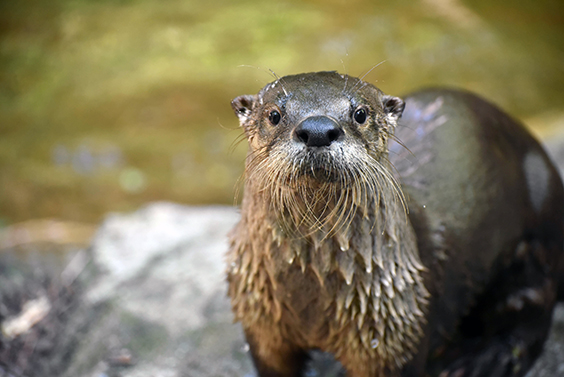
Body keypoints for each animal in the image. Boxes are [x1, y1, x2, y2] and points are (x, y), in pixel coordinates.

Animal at [226, 71, 564, 376]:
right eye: (274, 115)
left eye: (360, 113)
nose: (318, 129)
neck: (307, 293)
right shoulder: (261, 325)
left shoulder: (396, 330)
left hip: (536, 241)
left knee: (531, 311)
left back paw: (484, 360)